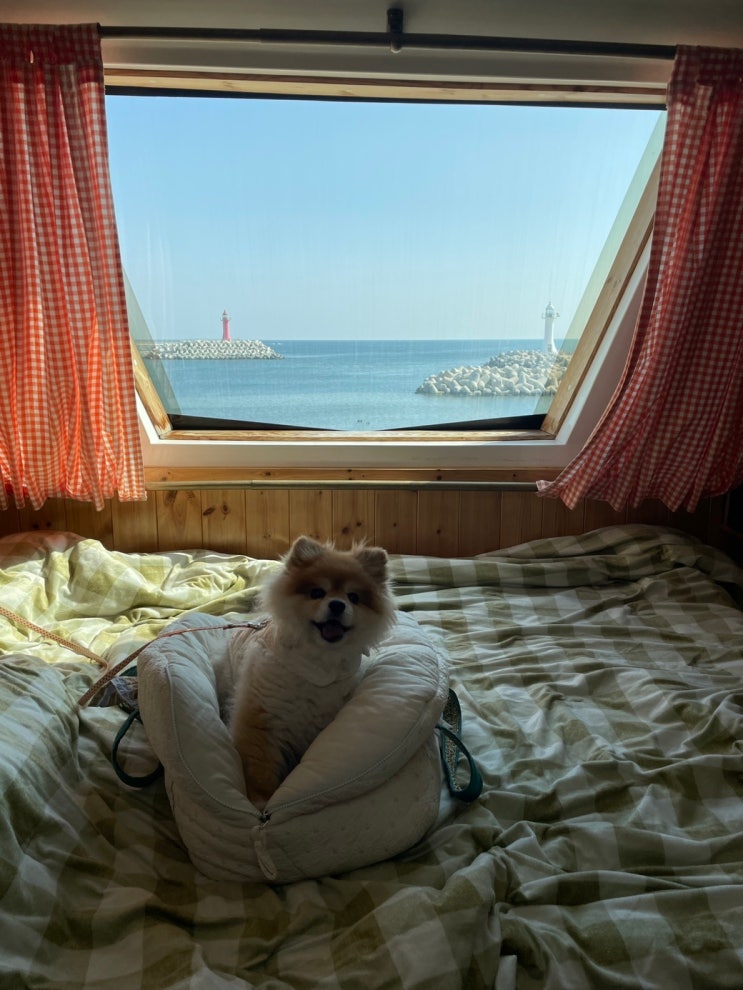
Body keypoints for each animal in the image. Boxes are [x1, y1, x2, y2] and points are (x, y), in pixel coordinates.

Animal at [228, 535, 395, 809]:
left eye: (353, 597)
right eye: (317, 592)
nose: (337, 605)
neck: (318, 666)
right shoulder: (262, 718)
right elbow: (259, 766)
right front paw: (262, 803)